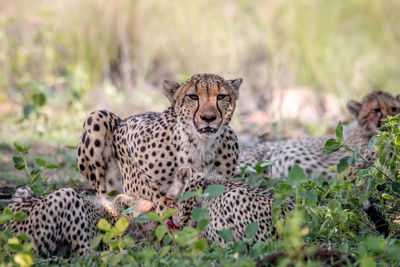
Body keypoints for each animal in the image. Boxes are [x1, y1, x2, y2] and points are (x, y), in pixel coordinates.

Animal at [76, 73, 242, 216]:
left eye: (221, 96)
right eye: (193, 97)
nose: (208, 118)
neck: (201, 146)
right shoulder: (130, 134)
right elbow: (153, 189)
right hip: (97, 117)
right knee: (102, 195)